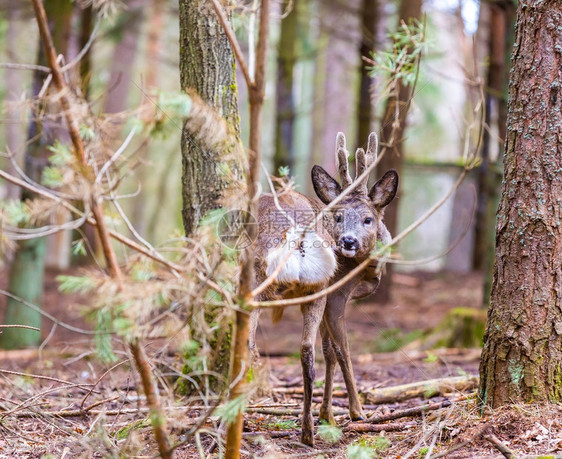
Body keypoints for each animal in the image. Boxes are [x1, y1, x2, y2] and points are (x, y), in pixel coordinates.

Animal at [247, 132, 396, 446]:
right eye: (339, 217)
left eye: (367, 218)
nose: (349, 241)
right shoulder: (335, 294)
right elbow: (340, 350)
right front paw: (354, 412)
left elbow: (329, 350)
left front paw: (327, 414)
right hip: (313, 288)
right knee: (307, 348)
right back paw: (307, 431)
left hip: (253, 286)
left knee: (248, 344)